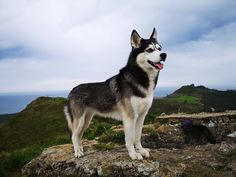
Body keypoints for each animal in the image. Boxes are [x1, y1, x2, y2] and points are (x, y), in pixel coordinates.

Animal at [64, 28, 167, 160]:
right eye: (149, 50)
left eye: (159, 48)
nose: (164, 55)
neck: (139, 77)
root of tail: (71, 91)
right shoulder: (130, 116)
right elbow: (130, 139)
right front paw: (133, 154)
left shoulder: (141, 116)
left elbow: (138, 136)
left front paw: (141, 150)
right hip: (80, 120)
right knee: (74, 136)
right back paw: (77, 152)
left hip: (86, 121)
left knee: (78, 135)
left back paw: (80, 148)